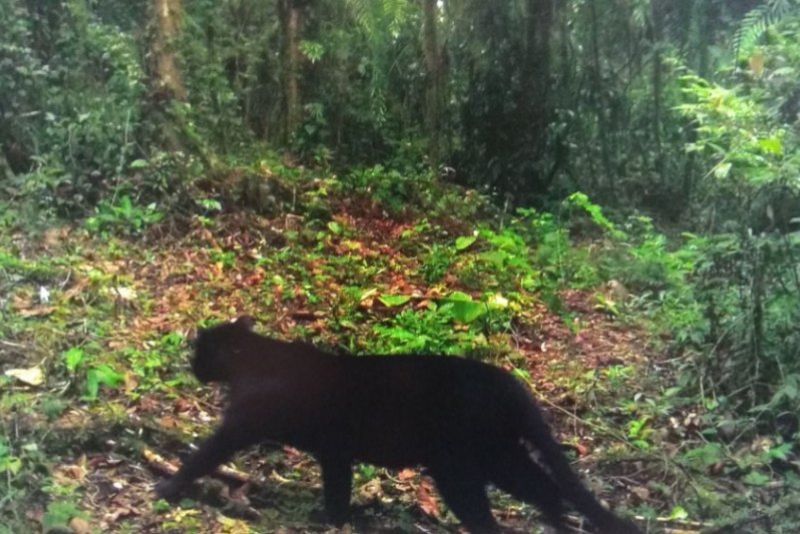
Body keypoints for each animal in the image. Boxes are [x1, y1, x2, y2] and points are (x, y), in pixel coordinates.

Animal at [158, 320, 644, 532]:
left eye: (201, 348)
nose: (191, 364)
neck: (253, 361)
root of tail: (508, 381)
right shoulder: (335, 451)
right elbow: (338, 487)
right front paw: (334, 518)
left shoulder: (239, 425)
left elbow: (204, 454)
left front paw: (167, 487)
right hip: (494, 458)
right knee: (546, 488)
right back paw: (558, 524)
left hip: (466, 465)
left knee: (503, 508)